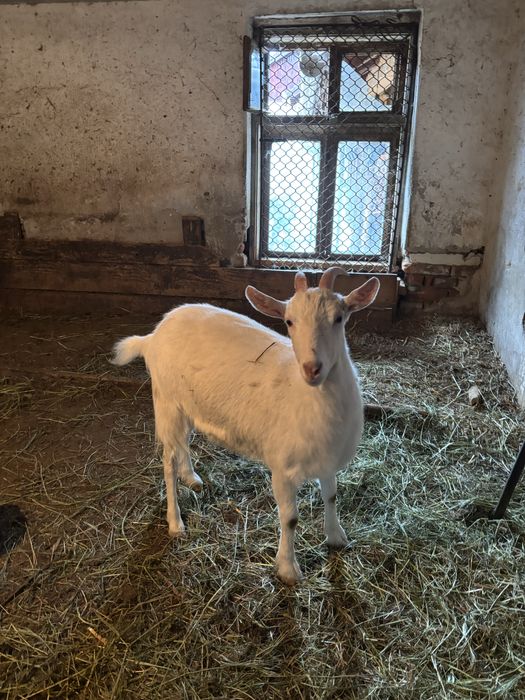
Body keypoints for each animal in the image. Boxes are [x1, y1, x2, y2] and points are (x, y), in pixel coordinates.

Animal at [112, 267, 379, 585]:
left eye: (339, 317)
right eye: (289, 321)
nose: (312, 368)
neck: (305, 394)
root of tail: (152, 336)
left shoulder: (327, 458)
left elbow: (332, 496)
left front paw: (336, 537)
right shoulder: (282, 467)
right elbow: (290, 518)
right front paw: (288, 569)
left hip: (187, 407)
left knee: (183, 445)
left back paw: (192, 477)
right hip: (167, 403)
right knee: (168, 460)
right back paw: (175, 522)